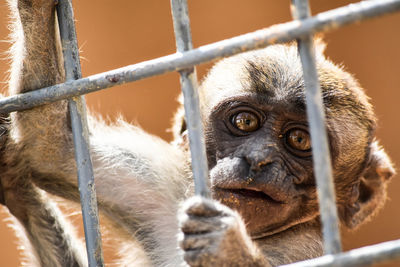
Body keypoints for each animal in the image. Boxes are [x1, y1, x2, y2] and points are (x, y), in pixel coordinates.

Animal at [0, 0, 394, 267]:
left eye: (299, 140)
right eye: (244, 122)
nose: (258, 159)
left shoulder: (305, 249)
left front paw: (228, 249)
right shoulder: (159, 193)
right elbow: (52, 148)